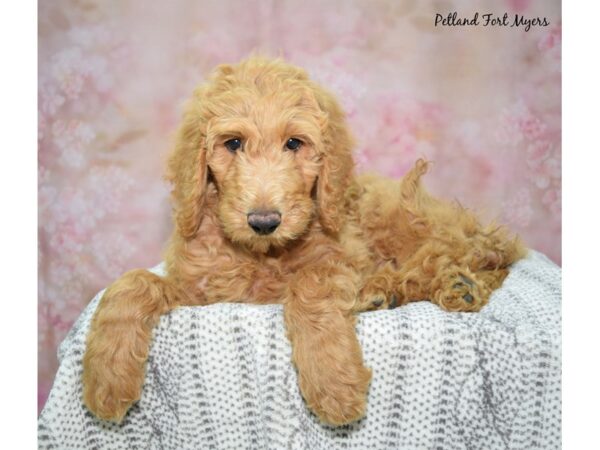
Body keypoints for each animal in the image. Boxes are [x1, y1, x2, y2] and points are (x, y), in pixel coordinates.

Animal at [83, 56, 524, 426]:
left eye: (294, 143)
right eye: (233, 143)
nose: (263, 221)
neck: (262, 255)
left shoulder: (342, 258)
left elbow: (309, 284)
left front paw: (333, 384)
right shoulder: (201, 291)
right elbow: (134, 282)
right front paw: (107, 379)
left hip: (400, 217)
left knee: (471, 255)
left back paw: (443, 285)